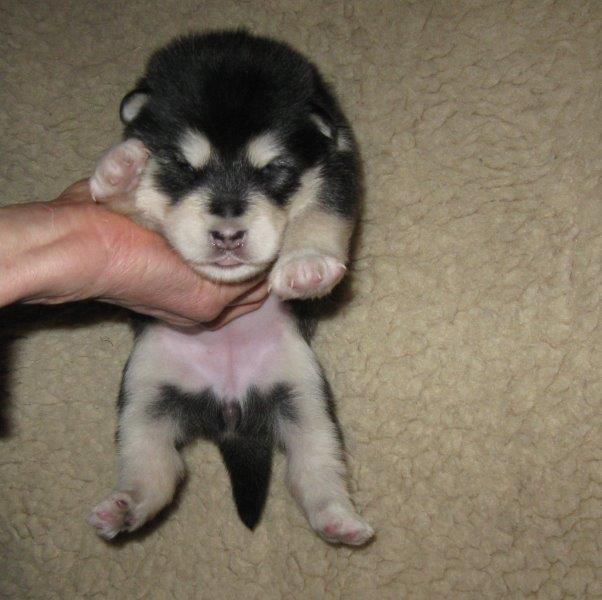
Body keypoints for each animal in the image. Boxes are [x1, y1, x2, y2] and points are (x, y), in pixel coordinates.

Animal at [87, 30, 374, 546]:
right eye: (183, 165)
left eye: (273, 169)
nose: (227, 235)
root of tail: (229, 412)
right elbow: (130, 204)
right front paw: (119, 171)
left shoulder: (339, 162)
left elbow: (323, 211)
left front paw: (307, 264)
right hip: (145, 396)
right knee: (155, 468)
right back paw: (123, 507)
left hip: (305, 397)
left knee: (313, 467)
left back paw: (338, 519)